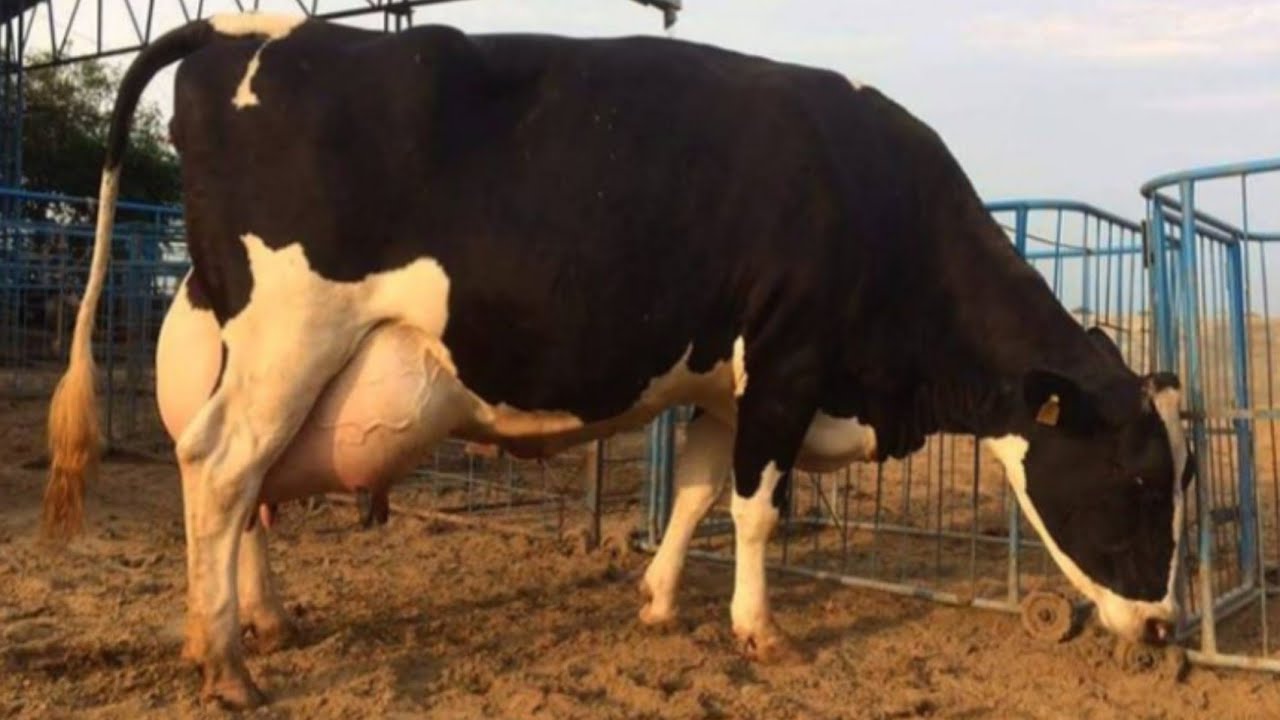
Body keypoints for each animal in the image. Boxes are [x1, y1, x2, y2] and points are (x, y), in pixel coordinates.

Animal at [42, 12, 1193, 708]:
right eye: (1140, 482)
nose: (1163, 627)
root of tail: (244, 27)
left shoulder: (728, 383)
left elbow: (693, 491)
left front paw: (655, 601)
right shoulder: (787, 362)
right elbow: (756, 509)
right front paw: (758, 631)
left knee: (243, 494)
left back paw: (264, 621)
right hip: (290, 337)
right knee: (222, 469)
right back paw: (224, 661)